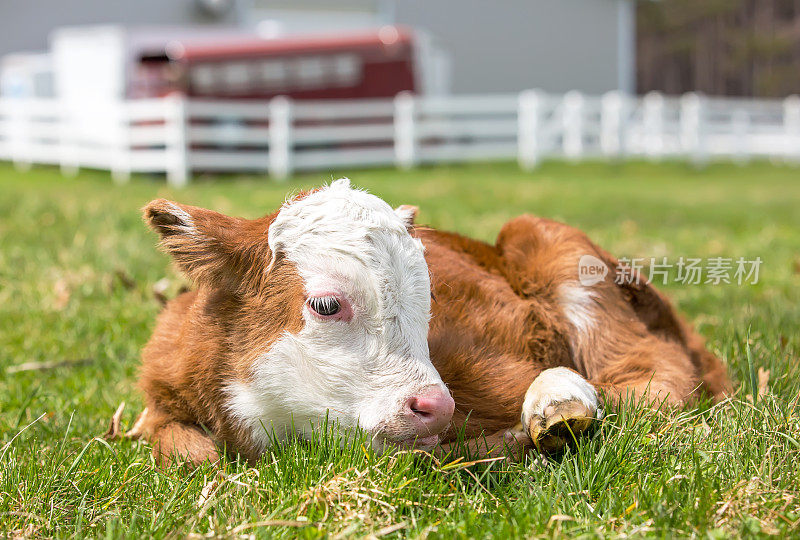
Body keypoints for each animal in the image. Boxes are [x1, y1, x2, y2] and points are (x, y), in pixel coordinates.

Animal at [138, 179, 732, 466]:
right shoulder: (161, 395)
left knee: (654, 376)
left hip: (558, 247)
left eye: (429, 302)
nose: (436, 405)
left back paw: (561, 402)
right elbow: (192, 457)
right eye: (326, 304)